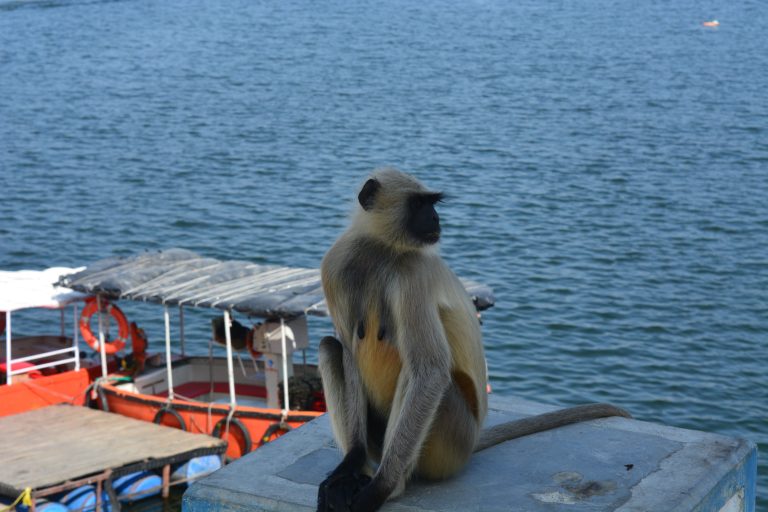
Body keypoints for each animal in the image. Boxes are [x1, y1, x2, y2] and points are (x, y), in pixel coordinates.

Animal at [318, 170, 632, 512]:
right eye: (418, 204)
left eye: (431, 203)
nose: (435, 217)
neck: (381, 250)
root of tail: (472, 441)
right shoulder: (336, 265)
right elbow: (349, 353)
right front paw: (350, 464)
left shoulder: (413, 273)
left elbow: (430, 370)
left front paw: (377, 490)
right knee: (330, 347)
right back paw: (358, 472)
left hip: (452, 438)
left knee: (419, 370)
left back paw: (393, 486)